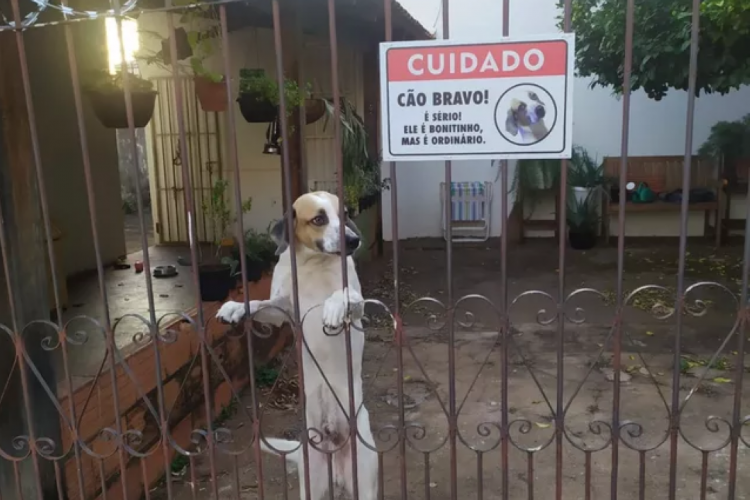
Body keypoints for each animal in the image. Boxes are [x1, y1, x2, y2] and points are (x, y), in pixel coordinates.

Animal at [217, 192, 382, 500]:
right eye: (318, 219)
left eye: (344, 214)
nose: (354, 240)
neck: (312, 263)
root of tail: (332, 445)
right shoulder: (281, 310)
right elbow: (257, 304)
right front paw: (235, 307)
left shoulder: (356, 307)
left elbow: (344, 295)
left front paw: (333, 307)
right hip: (312, 482)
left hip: (364, 477)